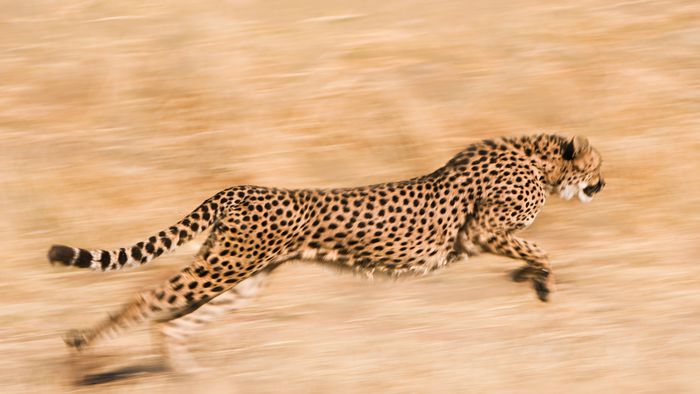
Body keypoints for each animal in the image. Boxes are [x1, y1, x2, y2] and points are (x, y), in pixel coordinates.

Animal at [49, 135, 604, 370]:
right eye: (598, 164)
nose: (604, 184)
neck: (541, 163)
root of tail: (236, 189)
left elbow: (534, 251)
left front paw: (529, 280)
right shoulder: (482, 231)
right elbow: (540, 248)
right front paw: (539, 282)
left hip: (240, 278)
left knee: (174, 324)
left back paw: (190, 377)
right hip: (224, 269)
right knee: (149, 301)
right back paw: (81, 344)